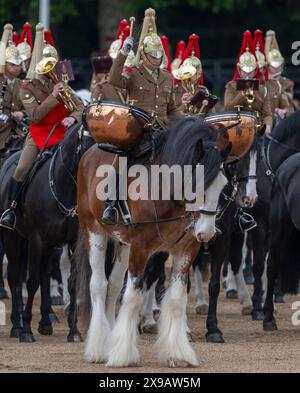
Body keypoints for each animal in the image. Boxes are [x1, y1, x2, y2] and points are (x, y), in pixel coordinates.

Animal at [0, 124, 93, 342]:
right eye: (87, 143)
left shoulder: (72, 242)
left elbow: (72, 282)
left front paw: (74, 331)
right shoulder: (37, 240)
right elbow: (31, 281)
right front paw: (26, 330)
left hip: (50, 245)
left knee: (44, 274)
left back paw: (45, 321)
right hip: (13, 239)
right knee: (15, 277)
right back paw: (17, 324)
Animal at [77, 115, 230, 366]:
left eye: (223, 185)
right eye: (195, 183)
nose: (206, 232)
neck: (166, 193)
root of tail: (89, 153)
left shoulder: (186, 249)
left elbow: (176, 299)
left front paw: (178, 353)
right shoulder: (141, 248)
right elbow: (133, 297)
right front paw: (123, 355)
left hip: (123, 244)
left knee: (113, 286)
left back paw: (109, 340)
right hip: (94, 232)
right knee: (99, 285)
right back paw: (98, 349)